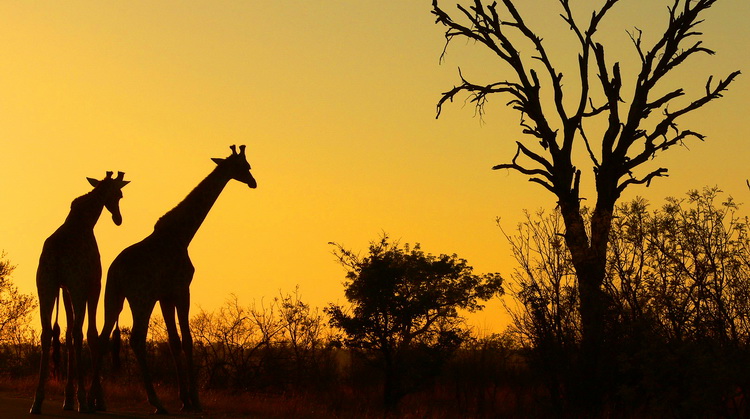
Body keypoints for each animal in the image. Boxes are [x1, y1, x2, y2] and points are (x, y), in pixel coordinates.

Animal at [30, 172, 130, 416]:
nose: (118, 218)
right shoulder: (91, 285)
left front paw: (67, 399)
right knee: (78, 333)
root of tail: (56, 254)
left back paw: (37, 401)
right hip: (75, 287)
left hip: (44, 286)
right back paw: (83, 402)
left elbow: (66, 334)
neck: (85, 221)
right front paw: (96, 400)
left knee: (47, 333)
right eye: (119, 194)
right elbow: (91, 334)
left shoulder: (65, 289)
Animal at [91, 145, 258, 414]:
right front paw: (195, 401)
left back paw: (96, 399)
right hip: (141, 298)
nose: (253, 182)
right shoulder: (181, 289)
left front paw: (184, 399)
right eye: (245, 166)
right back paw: (156, 402)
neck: (182, 234)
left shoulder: (166, 296)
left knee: (103, 337)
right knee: (136, 339)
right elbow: (188, 340)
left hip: (113, 297)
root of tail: (116, 270)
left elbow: (174, 341)